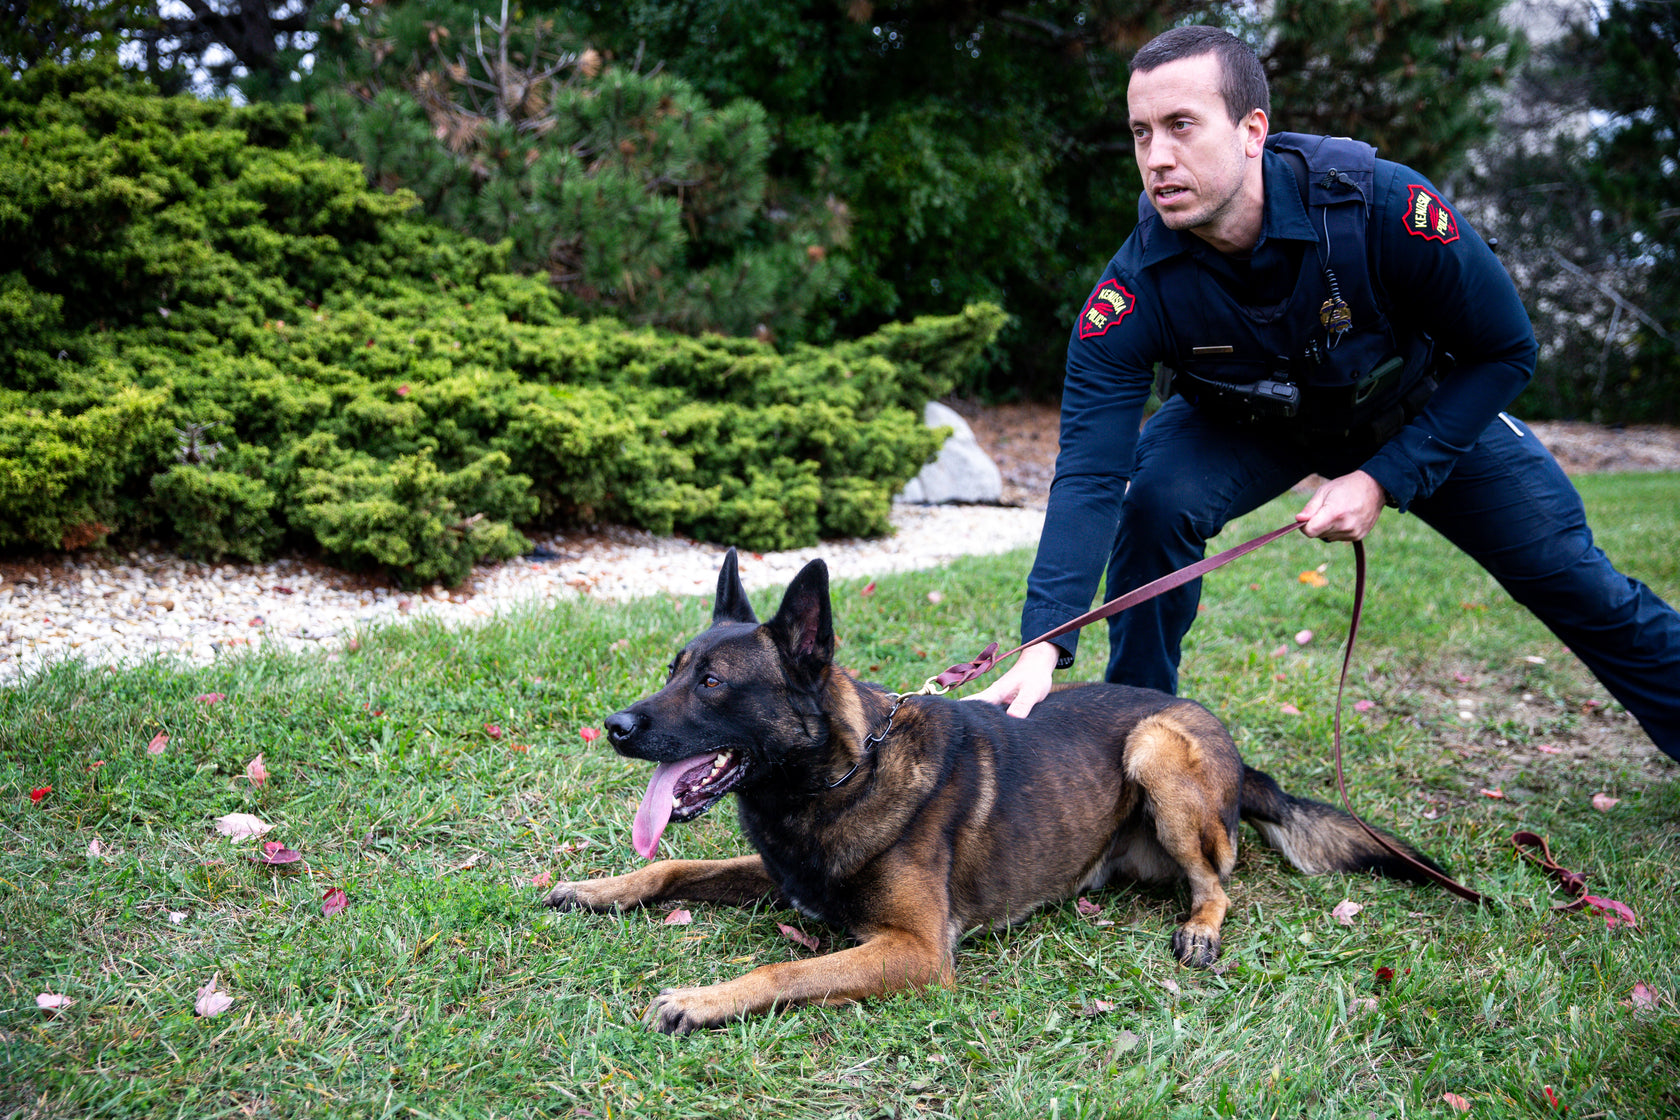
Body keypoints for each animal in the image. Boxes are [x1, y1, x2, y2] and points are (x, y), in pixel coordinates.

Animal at [545, 550, 1442, 1033]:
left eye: (713, 683)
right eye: (673, 669)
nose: (615, 726)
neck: (848, 769)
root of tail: (1231, 746)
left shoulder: (914, 951)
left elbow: (784, 971)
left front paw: (703, 1000)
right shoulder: (781, 872)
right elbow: (670, 868)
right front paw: (598, 887)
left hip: (1155, 748)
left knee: (1220, 881)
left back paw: (1201, 926)